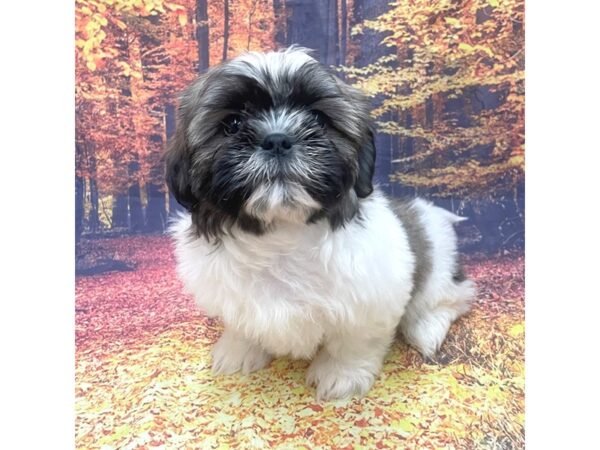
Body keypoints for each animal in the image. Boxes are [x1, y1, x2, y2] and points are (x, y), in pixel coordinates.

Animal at [166, 46, 476, 400]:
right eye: (232, 122)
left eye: (317, 118)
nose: (277, 139)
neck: (283, 233)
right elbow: (242, 324)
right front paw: (239, 350)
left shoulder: (373, 298)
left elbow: (354, 341)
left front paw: (341, 375)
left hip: (438, 272)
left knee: (453, 296)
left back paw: (426, 329)